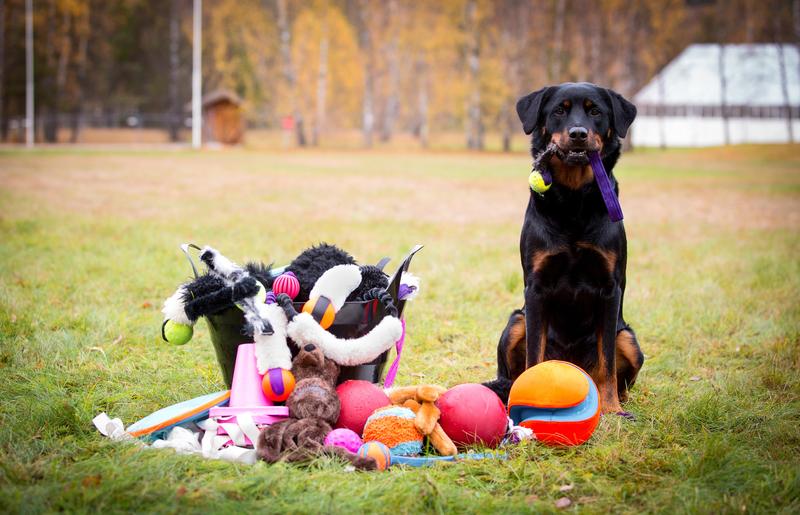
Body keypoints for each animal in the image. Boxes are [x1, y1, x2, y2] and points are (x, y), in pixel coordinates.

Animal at [482, 83, 644, 416]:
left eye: (595, 111)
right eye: (559, 110)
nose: (578, 133)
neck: (573, 200)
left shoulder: (610, 288)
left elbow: (608, 362)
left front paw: (612, 410)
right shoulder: (536, 288)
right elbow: (534, 357)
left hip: (630, 340)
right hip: (515, 321)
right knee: (509, 374)